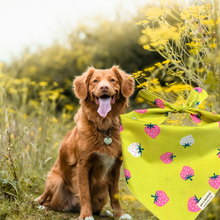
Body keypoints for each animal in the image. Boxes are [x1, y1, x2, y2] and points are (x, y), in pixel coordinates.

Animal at [37, 64, 134, 219]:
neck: (104, 127)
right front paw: (86, 215)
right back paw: (43, 207)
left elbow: (115, 195)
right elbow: (85, 193)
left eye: (112, 80)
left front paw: (119, 214)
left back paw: (105, 212)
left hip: (102, 193)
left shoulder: (115, 167)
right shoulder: (82, 165)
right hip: (55, 180)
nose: (104, 87)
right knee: (48, 202)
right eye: (95, 81)